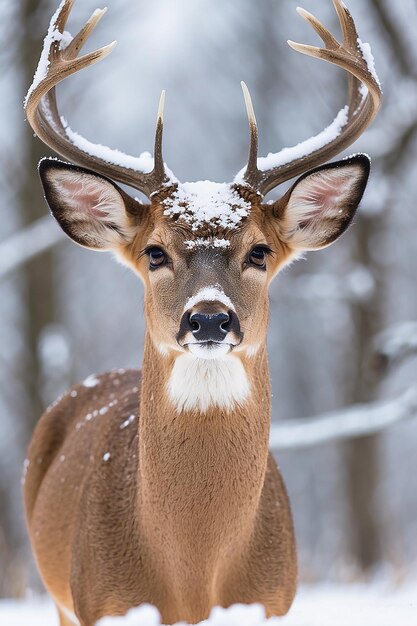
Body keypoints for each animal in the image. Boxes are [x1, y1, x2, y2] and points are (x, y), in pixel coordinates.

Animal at [22, 1, 380, 624]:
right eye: (154, 251)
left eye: (259, 250)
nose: (209, 318)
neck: (194, 579)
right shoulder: (102, 601)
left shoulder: (274, 602)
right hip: (61, 596)